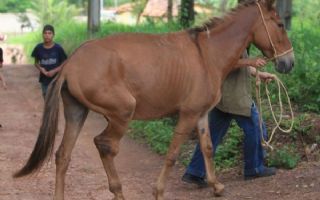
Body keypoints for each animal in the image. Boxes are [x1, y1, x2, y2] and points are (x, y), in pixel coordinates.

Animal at [14, 0, 296, 199]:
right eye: (280, 24)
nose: (289, 63)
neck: (208, 55)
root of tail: (71, 63)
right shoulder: (188, 115)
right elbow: (172, 155)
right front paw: (159, 191)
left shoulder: (202, 114)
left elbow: (207, 148)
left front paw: (215, 186)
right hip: (121, 113)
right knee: (104, 145)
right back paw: (118, 191)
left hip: (76, 112)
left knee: (63, 155)